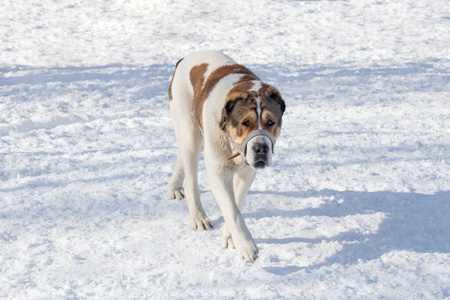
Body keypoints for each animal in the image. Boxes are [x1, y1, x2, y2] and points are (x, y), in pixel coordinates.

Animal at [167, 50, 286, 262]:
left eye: (271, 122)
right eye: (245, 122)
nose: (261, 149)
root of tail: (184, 59)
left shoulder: (247, 173)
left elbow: (236, 202)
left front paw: (229, 237)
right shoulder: (218, 173)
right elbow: (232, 210)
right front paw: (247, 246)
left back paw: (174, 186)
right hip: (189, 129)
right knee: (191, 177)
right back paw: (198, 217)